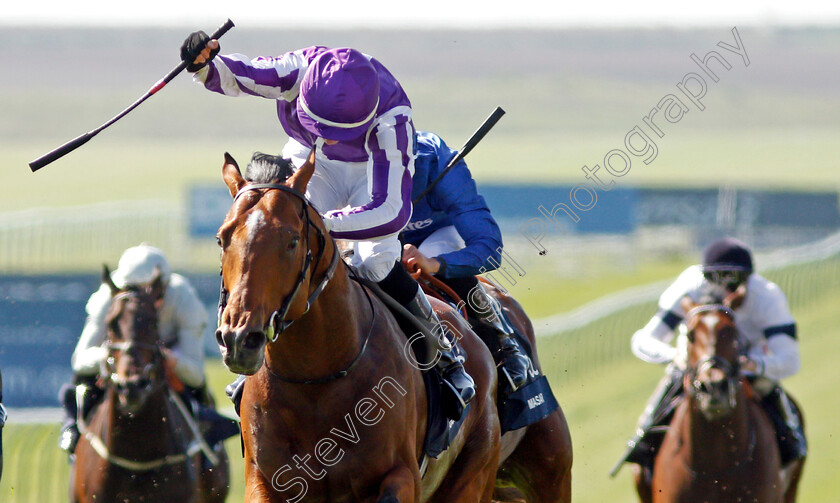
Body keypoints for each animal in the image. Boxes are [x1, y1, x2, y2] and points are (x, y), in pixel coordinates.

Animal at [213, 152, 576, 502]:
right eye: (222, 239)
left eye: (291, 241)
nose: (240, 339)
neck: (316, 380)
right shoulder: (264, 481)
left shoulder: (402, 475)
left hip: (513, 468)